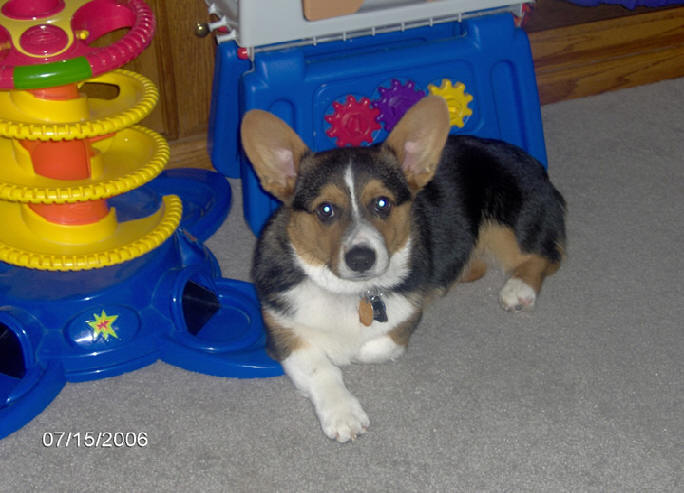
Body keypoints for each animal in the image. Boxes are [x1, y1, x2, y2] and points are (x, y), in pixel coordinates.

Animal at [240, 96, 566, 442]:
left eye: (382, 203)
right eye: (325, 210)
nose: (361, 258)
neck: (349, 293)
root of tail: (537, 165)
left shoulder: (404, 317)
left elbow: (373, 347)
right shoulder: (284, 334)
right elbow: (322, 367)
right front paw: (343, 414)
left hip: (509, 223)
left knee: (545, 256)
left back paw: (519, 288)